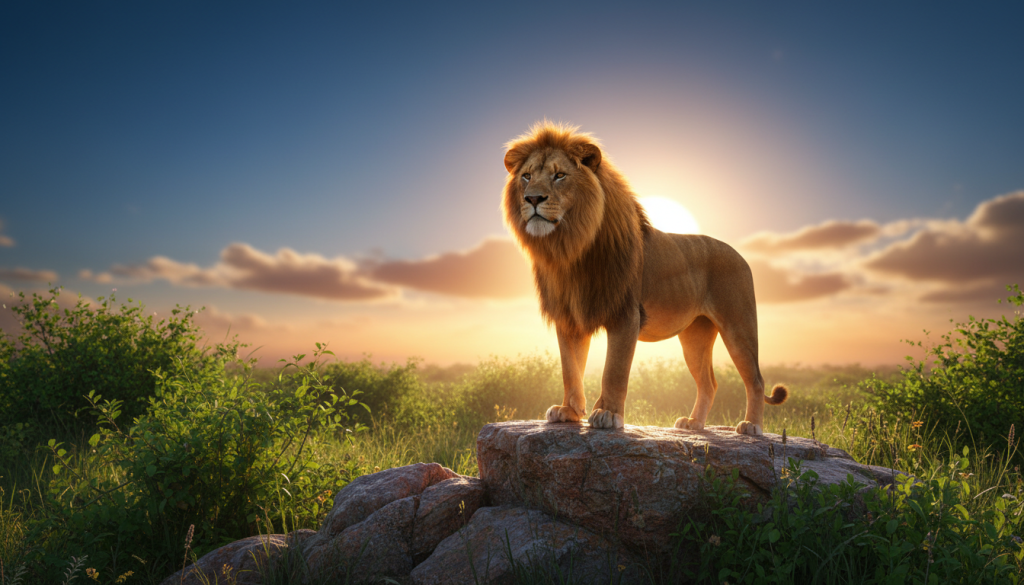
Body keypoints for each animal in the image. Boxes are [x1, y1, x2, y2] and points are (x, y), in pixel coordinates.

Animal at [501, 122, 788, 435]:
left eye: (560, 175)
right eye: (527, 176)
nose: (533, 198)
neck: (570, 249)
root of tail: (740, 255)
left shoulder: (626, 314)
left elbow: (614, 370)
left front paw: (607, 414)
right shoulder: (569, 318)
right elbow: (570, 368)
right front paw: (569, 411)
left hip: (738, 325)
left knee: (756, 379)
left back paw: (751, 426)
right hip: (695, 335)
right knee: (709, 382)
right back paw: (694, 424)